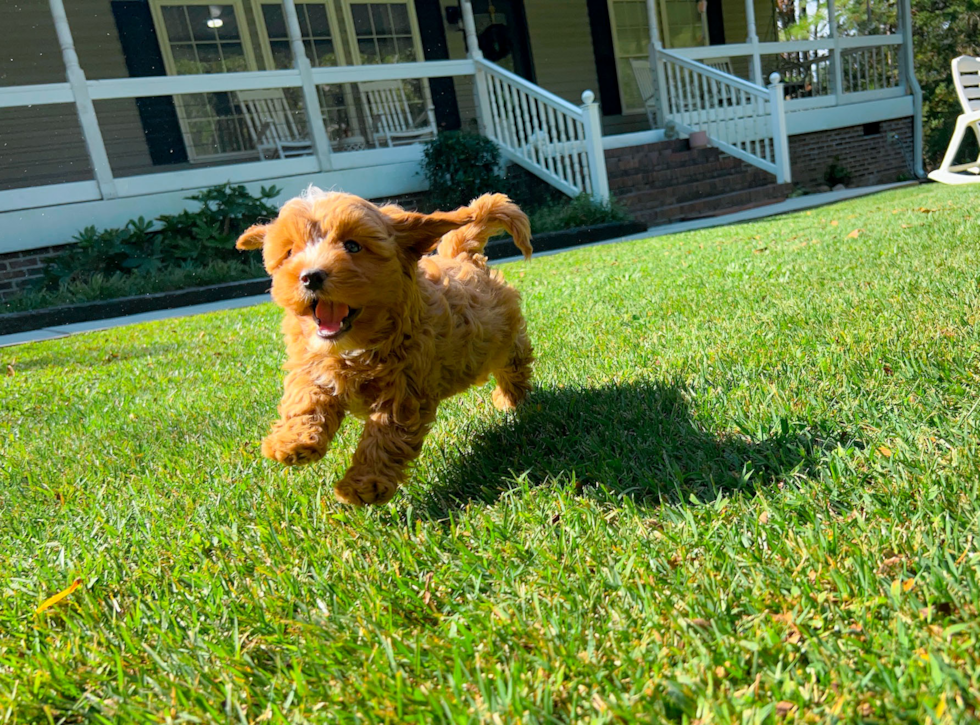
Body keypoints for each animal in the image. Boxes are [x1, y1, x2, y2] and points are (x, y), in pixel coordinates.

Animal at [236, 187, 532, 504]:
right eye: (290, 252)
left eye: (353, 246)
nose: (310, 276)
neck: (354, 347)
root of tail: (462, 256)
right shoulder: (312, 364)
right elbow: (305, 399)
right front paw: (292, 441)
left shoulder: (405, 388)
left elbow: (386, 435)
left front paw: (364, 484)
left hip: (503, 337)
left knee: (515, 362)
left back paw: (510, 398)